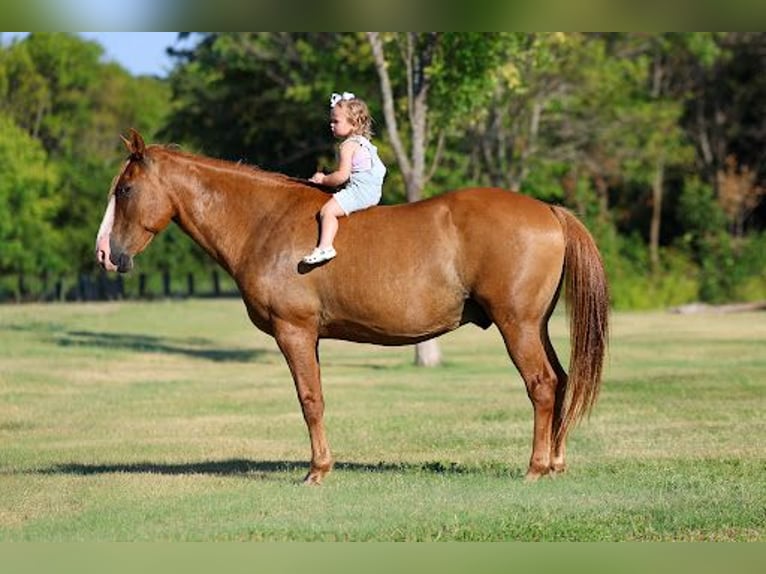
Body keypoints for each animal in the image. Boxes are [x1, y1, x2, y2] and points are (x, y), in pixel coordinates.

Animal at [96, 129, 609, 484]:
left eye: (124, 190)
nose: (106, 254)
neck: (264, 220)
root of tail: (549, 210)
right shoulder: (310, 337)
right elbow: (317, 398)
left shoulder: (295, 331)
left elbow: (310, 401)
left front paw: (317, 471)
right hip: (536, 325)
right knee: (562, 380)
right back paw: (556, 462)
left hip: (516, 325)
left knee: (542, 385)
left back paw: (536, 467)